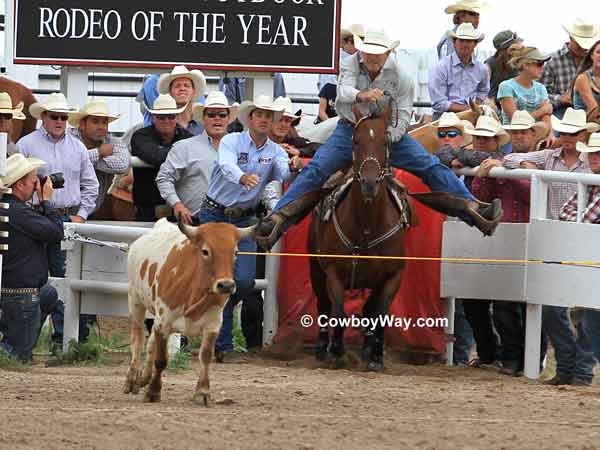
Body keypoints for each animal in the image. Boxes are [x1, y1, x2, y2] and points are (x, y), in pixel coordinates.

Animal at [308, 100, 414, 370]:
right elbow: (338, 312)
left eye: (386, 142)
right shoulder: (333, 273)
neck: (367, 226)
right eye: (355, 141)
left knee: (369, 310)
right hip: (315, 267)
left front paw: (376, 356)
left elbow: (380, 314)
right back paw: (322, 348)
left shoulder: (394, 276)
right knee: (323, 305)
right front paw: (337, 352)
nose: (369, 182)